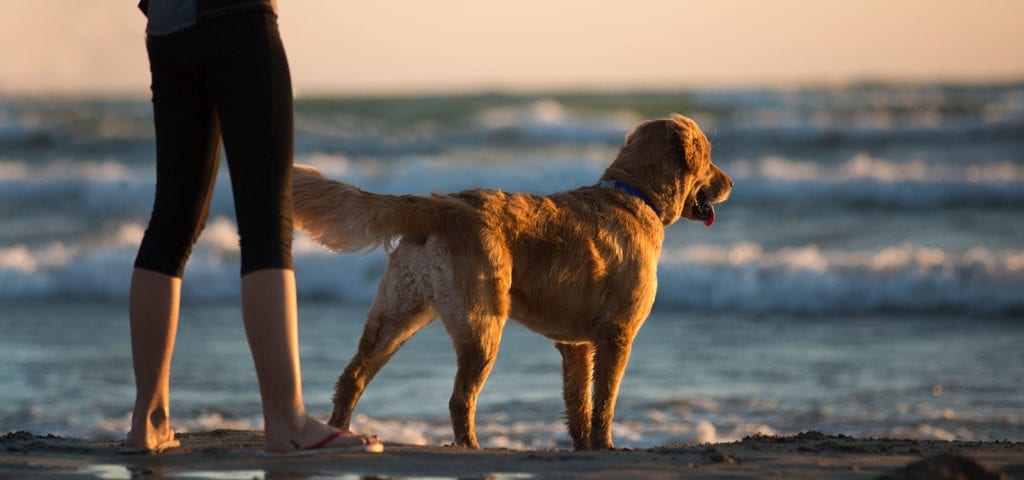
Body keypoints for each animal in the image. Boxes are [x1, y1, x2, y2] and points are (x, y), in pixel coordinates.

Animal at [292, 113, 733, 448]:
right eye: (710, 156)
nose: (729, 183)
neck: (635, 195)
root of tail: (441, 205)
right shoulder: (617, 334)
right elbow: (604, 401)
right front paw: (606, 445)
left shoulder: (575, 345)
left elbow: (579, 403)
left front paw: (583, 447)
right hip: (482, 323)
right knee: (459, 398)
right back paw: (470, 447)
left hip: (397, 314)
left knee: (352, 377)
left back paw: (340, 433)